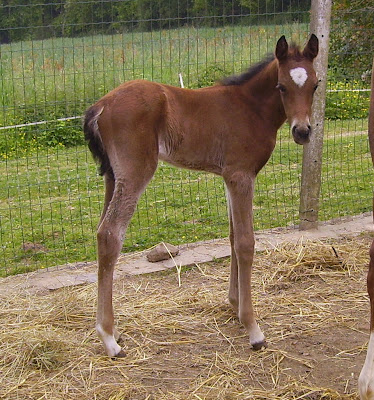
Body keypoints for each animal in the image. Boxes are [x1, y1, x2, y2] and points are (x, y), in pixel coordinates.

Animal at [84, 34, 318, 356]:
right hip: (135, 172)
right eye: (281, 86)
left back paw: (114, 331)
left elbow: (232, 238)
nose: (302, 132)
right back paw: (108, 338)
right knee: (110, 234)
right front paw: (253, 328)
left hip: (112, 176)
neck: (250, 107)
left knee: (100, 233)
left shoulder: (229, 177)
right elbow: (246, 243)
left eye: (315, 85)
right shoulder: (241, 175)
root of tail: (101, 105)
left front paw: (234, 305)